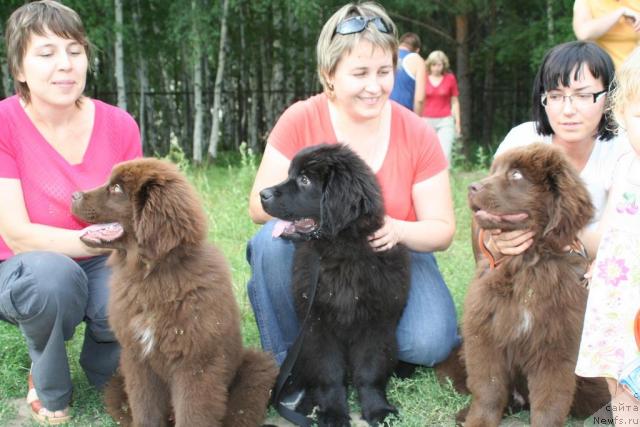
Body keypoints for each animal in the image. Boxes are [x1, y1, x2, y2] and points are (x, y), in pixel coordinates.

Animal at [72, 159, 278, 426]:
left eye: (116, 189)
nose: (73, 195)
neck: (152, 276)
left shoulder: (195, 363)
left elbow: (192, 413)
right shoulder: (137, 358)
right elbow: (145, 409)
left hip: (257, 369)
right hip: (117, 381)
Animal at [260, 145, 410, 427]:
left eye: (304, 180)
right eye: (290, 174)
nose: (262, 194)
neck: (340, 251)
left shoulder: (377, 323)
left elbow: (370, 371)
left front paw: (378, 409)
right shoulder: (317, 324)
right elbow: (329, 372)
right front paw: (332, 412)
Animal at [460, 145, 608, 427]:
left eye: (516, 175)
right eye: (495, 170)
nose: (472, 187)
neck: (527, 265)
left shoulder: (556, 344)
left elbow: (550, 401)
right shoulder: (485, 335)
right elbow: (488, 389)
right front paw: (478, 421)